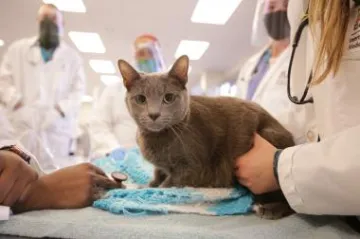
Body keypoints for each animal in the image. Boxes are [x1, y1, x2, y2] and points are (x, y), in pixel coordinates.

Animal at [118, 55, 296, 219]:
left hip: (269, 137)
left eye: (168, 98)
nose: (154, 114)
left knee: (287, 200)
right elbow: (157, 173)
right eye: (141, 99)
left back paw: (269, 208)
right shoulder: (162, 166)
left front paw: (151, 191)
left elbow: (169, 183)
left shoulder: (193, 168)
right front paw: (148, 185)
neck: (157, 137)